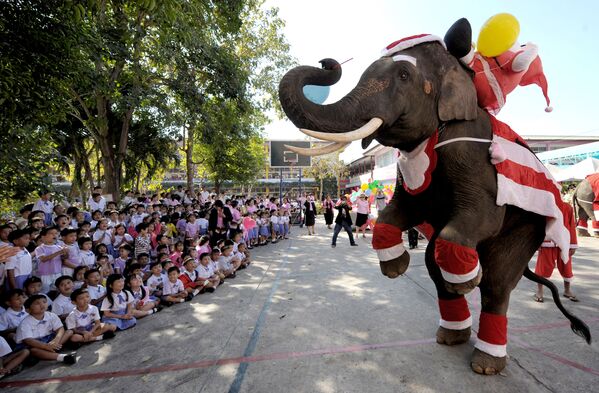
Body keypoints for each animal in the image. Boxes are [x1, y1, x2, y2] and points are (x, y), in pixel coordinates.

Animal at [280, 19, 592, 374]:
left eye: (404, 75)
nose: (327, 63)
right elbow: (398, 212)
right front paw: (396, 268)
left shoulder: (470, 151)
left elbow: (484, 214)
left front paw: (467, 281)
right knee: (433, 264)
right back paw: (451, 335)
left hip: (528, 226)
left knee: (497, 281)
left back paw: (485, 361)